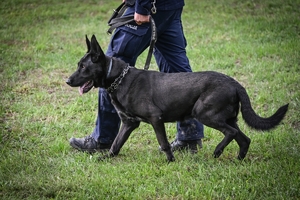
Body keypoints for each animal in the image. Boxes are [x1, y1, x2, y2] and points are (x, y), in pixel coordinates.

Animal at [66, 35, 288, 162]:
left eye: (83, 67)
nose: (67, 81)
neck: (119, 78)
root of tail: (236, 83)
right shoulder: (129, 123)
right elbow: (116, 144)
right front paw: (105, 158)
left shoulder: (155, 119)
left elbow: (163, 143)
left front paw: (170, 161)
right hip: (227, 117)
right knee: (244, 138)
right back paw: (239, 159)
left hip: (204, 113)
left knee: (231, 133)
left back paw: (217, 151)